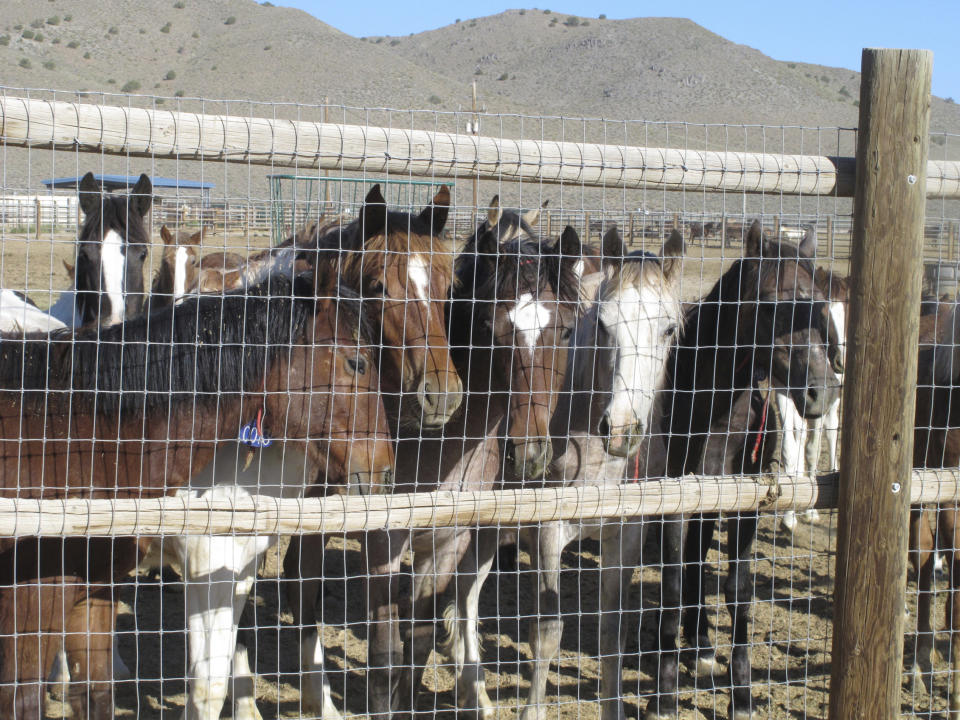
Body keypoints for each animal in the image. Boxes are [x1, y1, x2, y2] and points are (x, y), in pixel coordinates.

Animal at [648, 221, 844, 720]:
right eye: (772, 303)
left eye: (821, 306)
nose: (822, 392)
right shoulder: (674, 500)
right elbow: (674, 583)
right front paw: (664, 694)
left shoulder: (746, 504)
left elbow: (738, 590)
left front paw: (741, 694)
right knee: (692, 559)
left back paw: (700, 642)